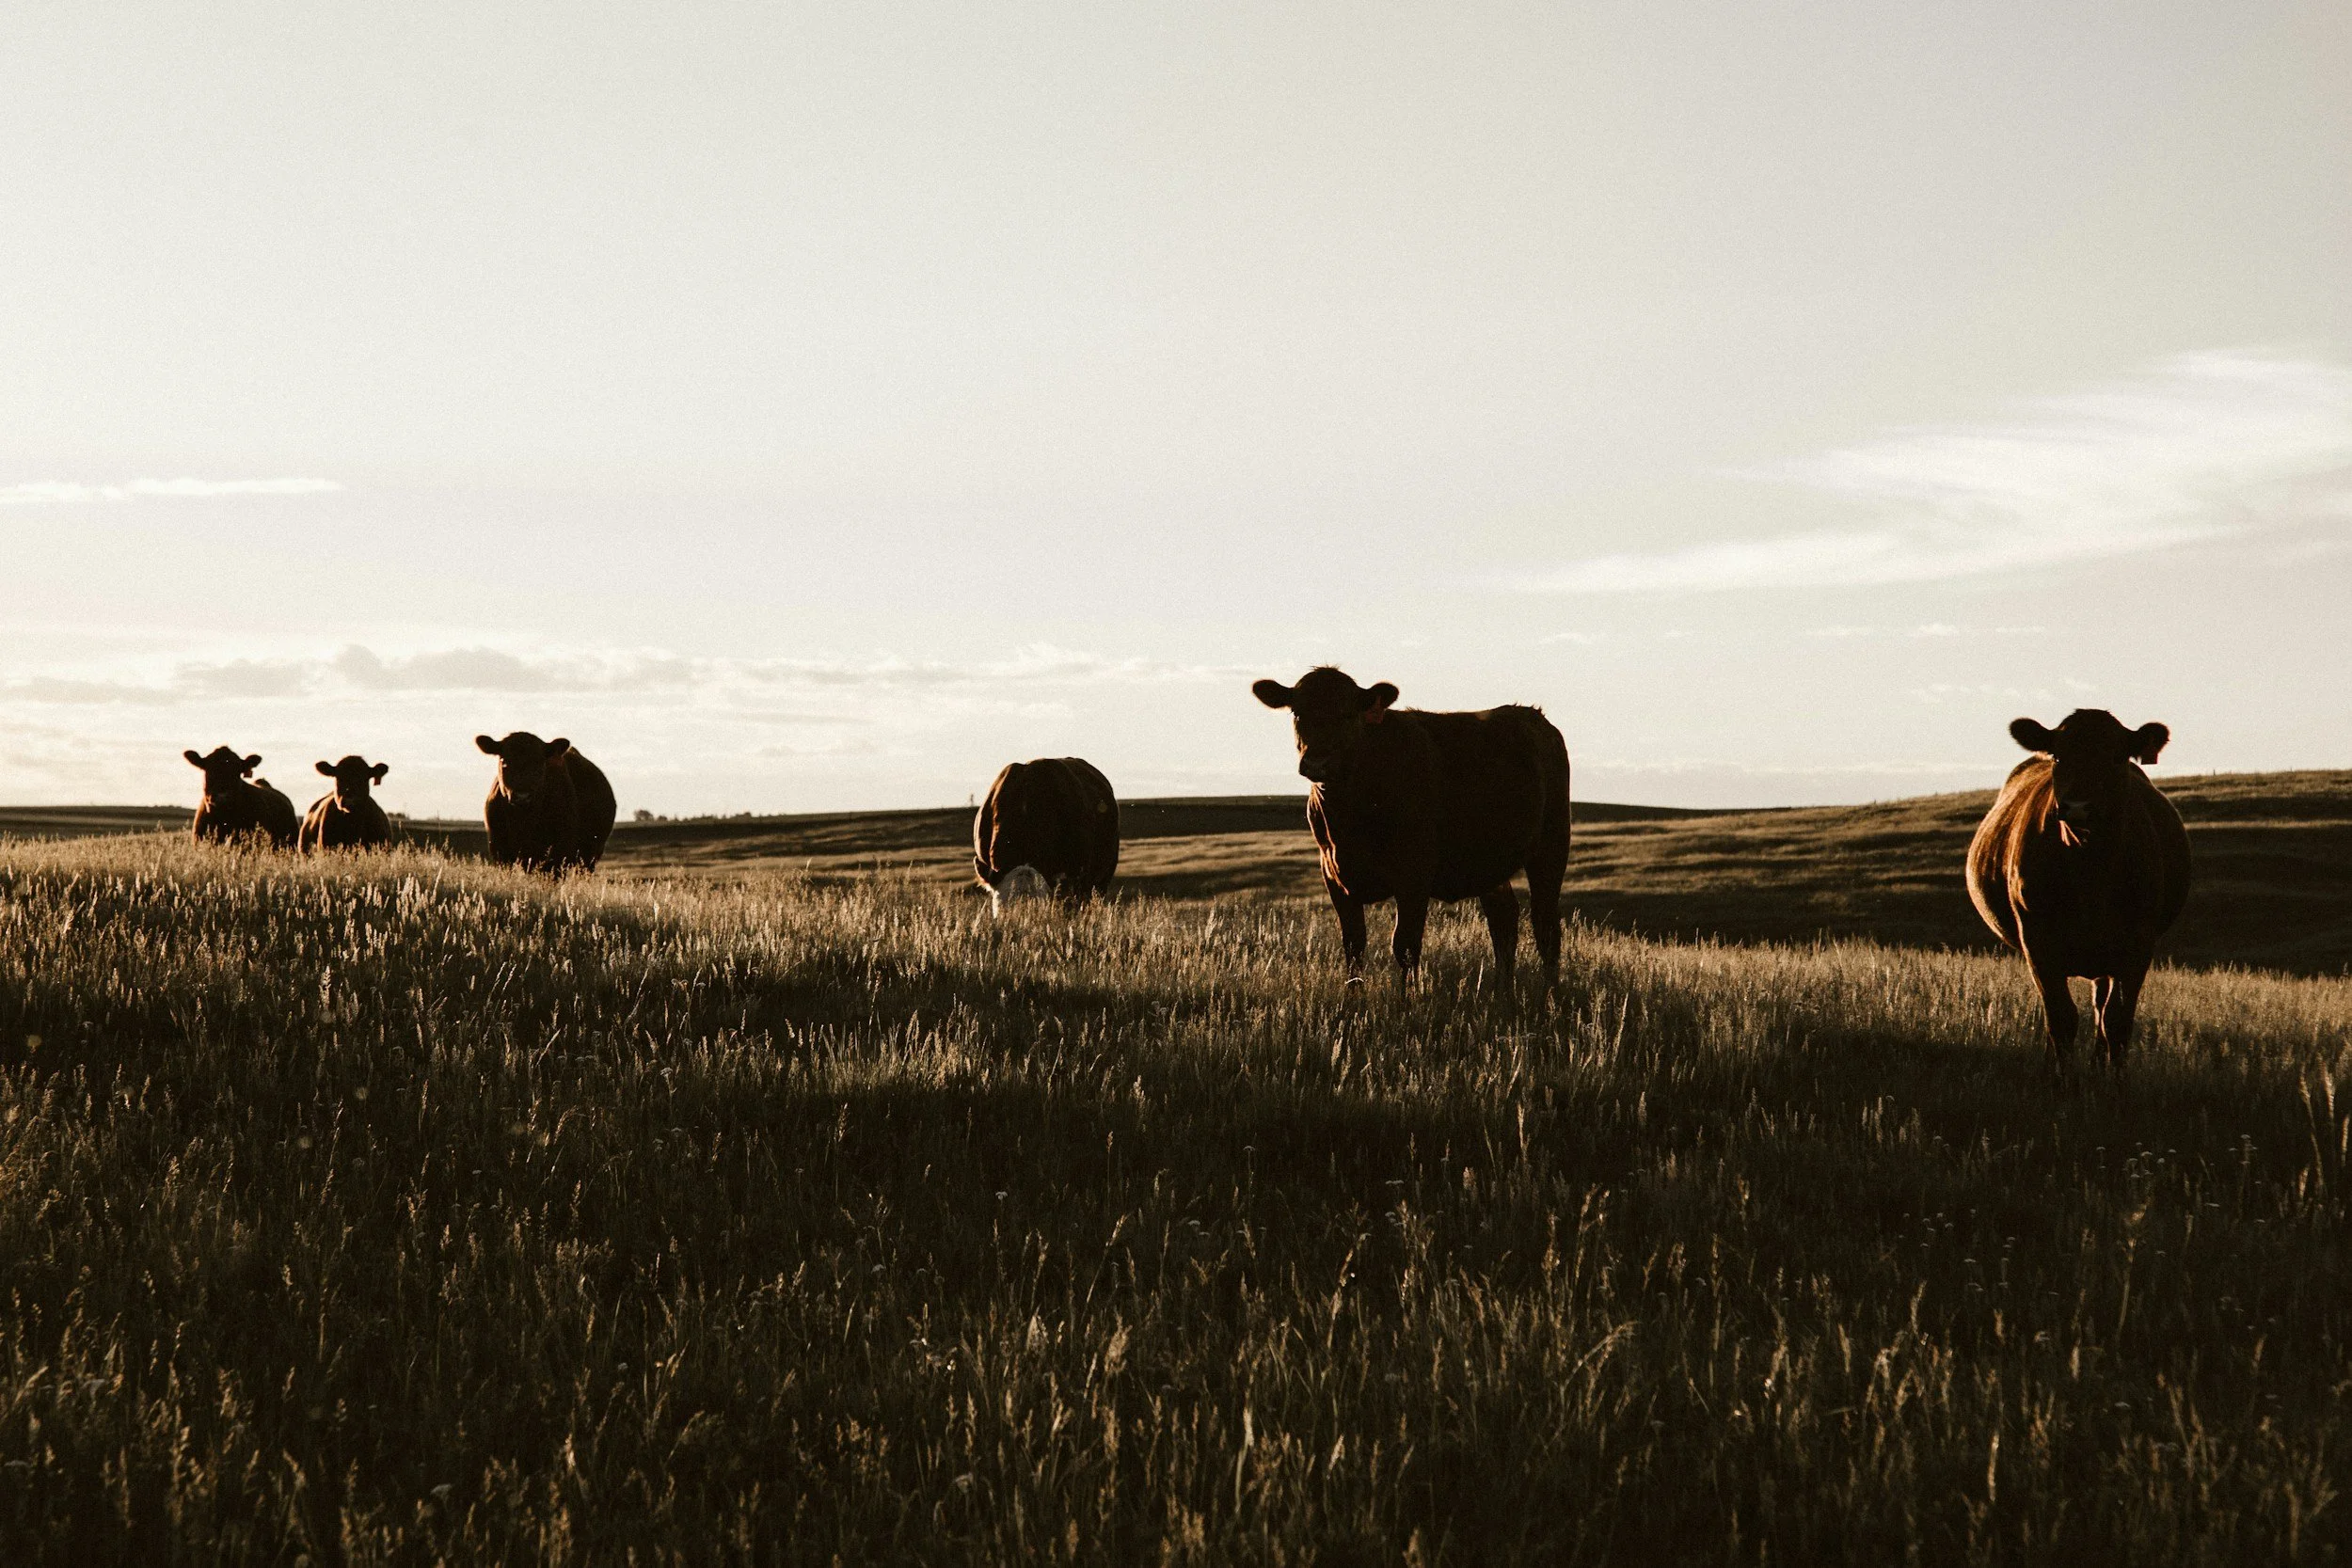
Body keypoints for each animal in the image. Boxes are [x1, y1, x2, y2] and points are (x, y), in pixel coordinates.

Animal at [475, 732, 617, 873]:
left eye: (540, 763)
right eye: (504, 761)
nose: (522, 796)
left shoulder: (558, 853)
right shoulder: (500, 851)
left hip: (590, 856)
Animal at [1253, 667, 1571, 990]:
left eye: (1348, 714)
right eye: (1297, 712)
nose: (1318, 763)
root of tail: (1533, 715)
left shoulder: (1414, 874)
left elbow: (1405, 945)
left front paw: (1407, 999)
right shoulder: (1334, 876)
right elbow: (1353, 946)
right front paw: (1353, 999)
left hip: (1552, 844)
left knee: (1545, 922)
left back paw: (1550, 990)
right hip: (1489, 862)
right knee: (1504, 919)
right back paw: (1502, 990)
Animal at [1965, 710, 2191, 1075]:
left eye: (2117, 758)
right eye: (2058, 756)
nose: (2077, 807)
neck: (2090, 871)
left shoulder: (2138, 943)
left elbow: (2117, 1021)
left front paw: (2115, 1080)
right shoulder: (2037, 939)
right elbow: (2061, 1018)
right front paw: (2062, 1078)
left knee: (2101, 1007)